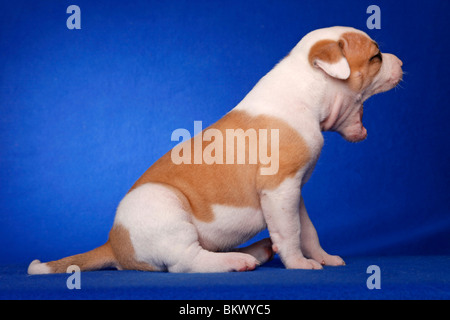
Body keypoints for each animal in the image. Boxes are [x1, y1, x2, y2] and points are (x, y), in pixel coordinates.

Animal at [29, 26, 400, 274]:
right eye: (376, 57)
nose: (399, 61)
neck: (307, 89)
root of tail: (114, 243)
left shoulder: (292, 193)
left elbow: (306, 229)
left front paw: (321, 257)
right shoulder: (280, 188)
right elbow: (291, 231)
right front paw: (298, 263)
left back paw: (259, 250)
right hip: (165, 205)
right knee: (185, 262)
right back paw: (238, 260)